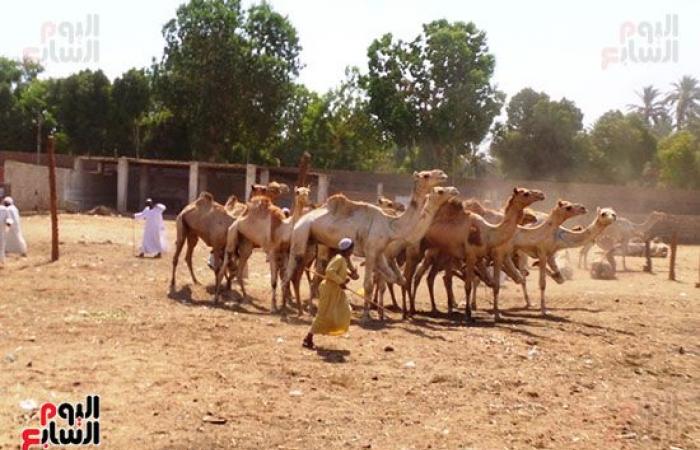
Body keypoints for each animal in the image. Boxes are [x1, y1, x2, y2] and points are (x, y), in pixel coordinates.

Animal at [284, 184, 460, 320]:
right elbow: (371, 284)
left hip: (319, 245)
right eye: (440, 191)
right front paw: (368, 315)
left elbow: (395, 280)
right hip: (302, 234)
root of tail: (298, 220)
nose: (455, 190)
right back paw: (285, 308)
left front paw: (384, 313)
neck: (391, 227)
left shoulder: (381, 255)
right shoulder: (372, 251)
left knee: (311, 276)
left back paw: (308, 309)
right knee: (292, 270)